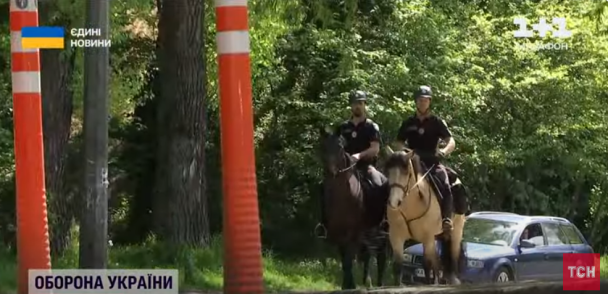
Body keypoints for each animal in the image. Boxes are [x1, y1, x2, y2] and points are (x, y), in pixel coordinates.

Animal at [384, 148, 466, 286]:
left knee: (452, 256)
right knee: (437, 263)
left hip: (455, 232)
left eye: (406, 172)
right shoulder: (396, 237)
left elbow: (427, 265)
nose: (393, 202)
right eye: (388, 170)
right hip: (437, 237)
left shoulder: (427, 238)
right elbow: (398, 266)